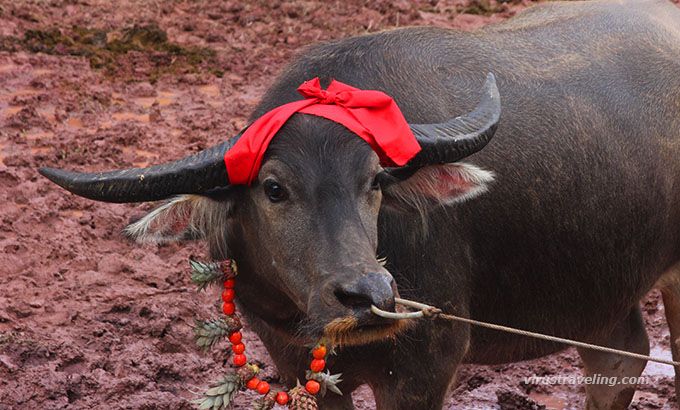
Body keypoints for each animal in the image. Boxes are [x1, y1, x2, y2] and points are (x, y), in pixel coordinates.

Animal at [38, 0, 680, 408]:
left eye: (373, 181)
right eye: (274, 188)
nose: (369, 296)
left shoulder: (425, 368)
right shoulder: (296, 363)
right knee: (619, 361)